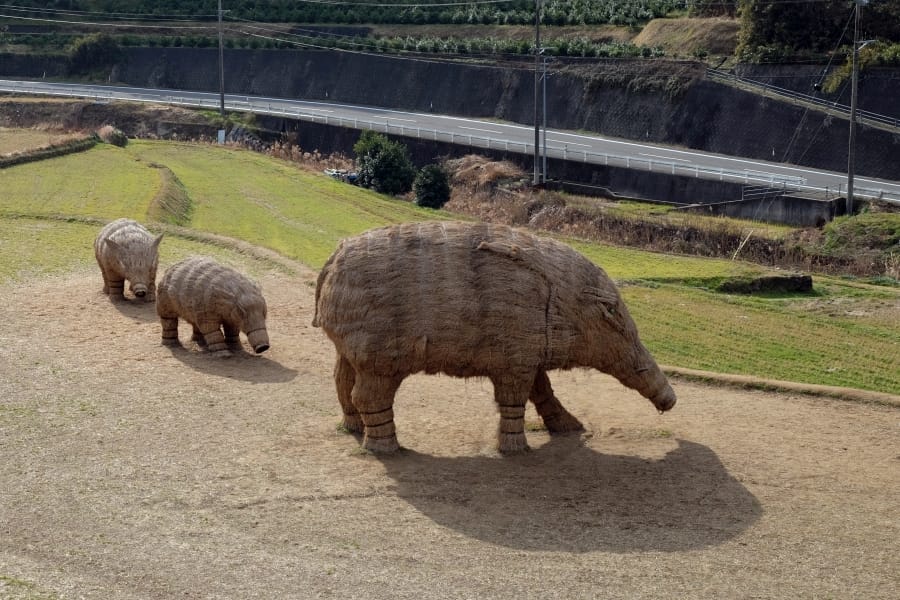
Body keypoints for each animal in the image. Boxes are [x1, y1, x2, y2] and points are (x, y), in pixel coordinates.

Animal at [313, 221, 676, 454]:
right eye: (610, 311)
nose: (669, 400)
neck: (558, 300)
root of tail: (331, 263)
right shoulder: (515, 359)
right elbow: (515, 400)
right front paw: (515, 448)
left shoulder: (528, 355)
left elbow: (543, 390)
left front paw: (571, 426)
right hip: (378, 356)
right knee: (367, 396)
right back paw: (384, 446)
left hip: (349, 347)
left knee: (341, 381)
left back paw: (353, 428)